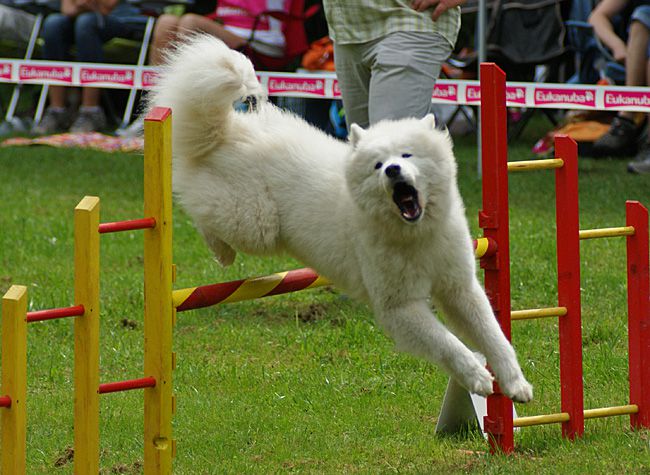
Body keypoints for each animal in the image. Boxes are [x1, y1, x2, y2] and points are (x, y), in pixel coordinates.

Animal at [151, 35, 532, 404]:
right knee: (197, 203)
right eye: (378, 165)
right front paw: (477, 376)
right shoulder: (399, 307)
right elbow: (449, 344)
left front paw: (516, 384)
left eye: (407, 155)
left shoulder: (459, 288)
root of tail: (229, 129)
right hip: (256, 224)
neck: (414, 234)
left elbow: (494, 336)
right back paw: (221, 251)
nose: (393, 170)